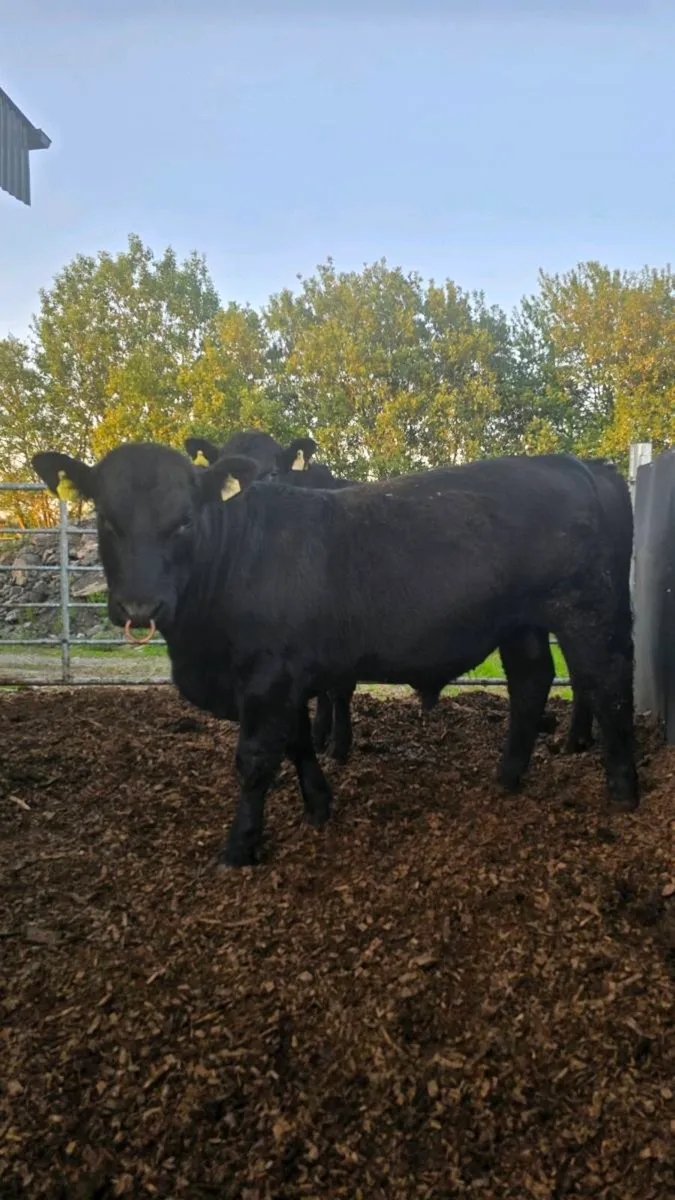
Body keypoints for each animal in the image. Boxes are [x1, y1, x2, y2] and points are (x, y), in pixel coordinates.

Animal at [32, 443, 639, 869]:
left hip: (587, 609)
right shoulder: (289, 676)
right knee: (532, 683)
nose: (140, 604)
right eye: (106, 519)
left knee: (607, 682)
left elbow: (255, 759)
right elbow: (298, 742)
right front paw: (319, 805)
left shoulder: (267, 677)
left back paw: (623, 789)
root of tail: (576, 464)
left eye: (183, 520)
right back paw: (507, 777)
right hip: (519, 622)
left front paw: (239, 848)